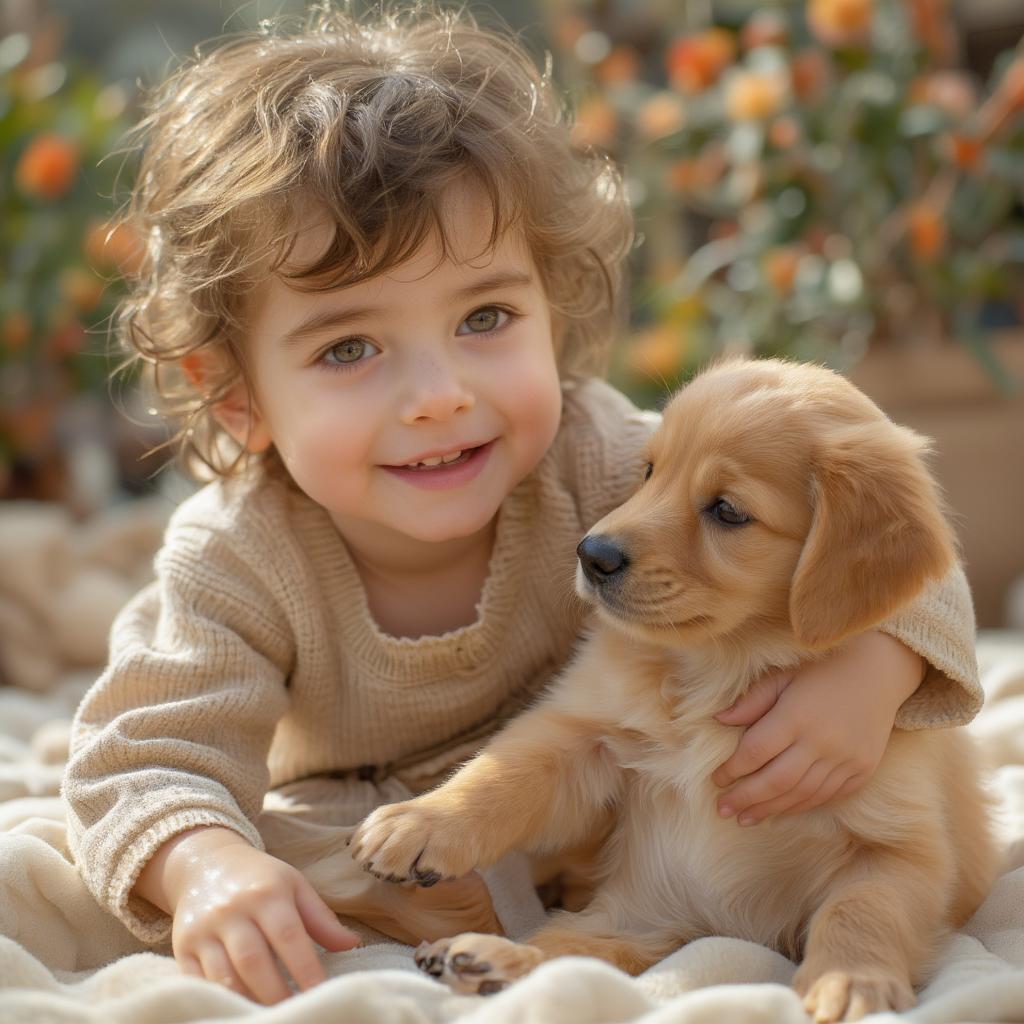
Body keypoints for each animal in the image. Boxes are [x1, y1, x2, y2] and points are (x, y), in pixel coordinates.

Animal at [352, 360, 999, 1024]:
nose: (591, 554)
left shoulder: (898, 845)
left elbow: (862, 910)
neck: (721, 670)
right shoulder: (586, 741)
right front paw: (421, 822)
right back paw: (484, 954)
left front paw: (851, 983)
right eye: (648, 472)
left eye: (728, 511)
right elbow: (505, 775)